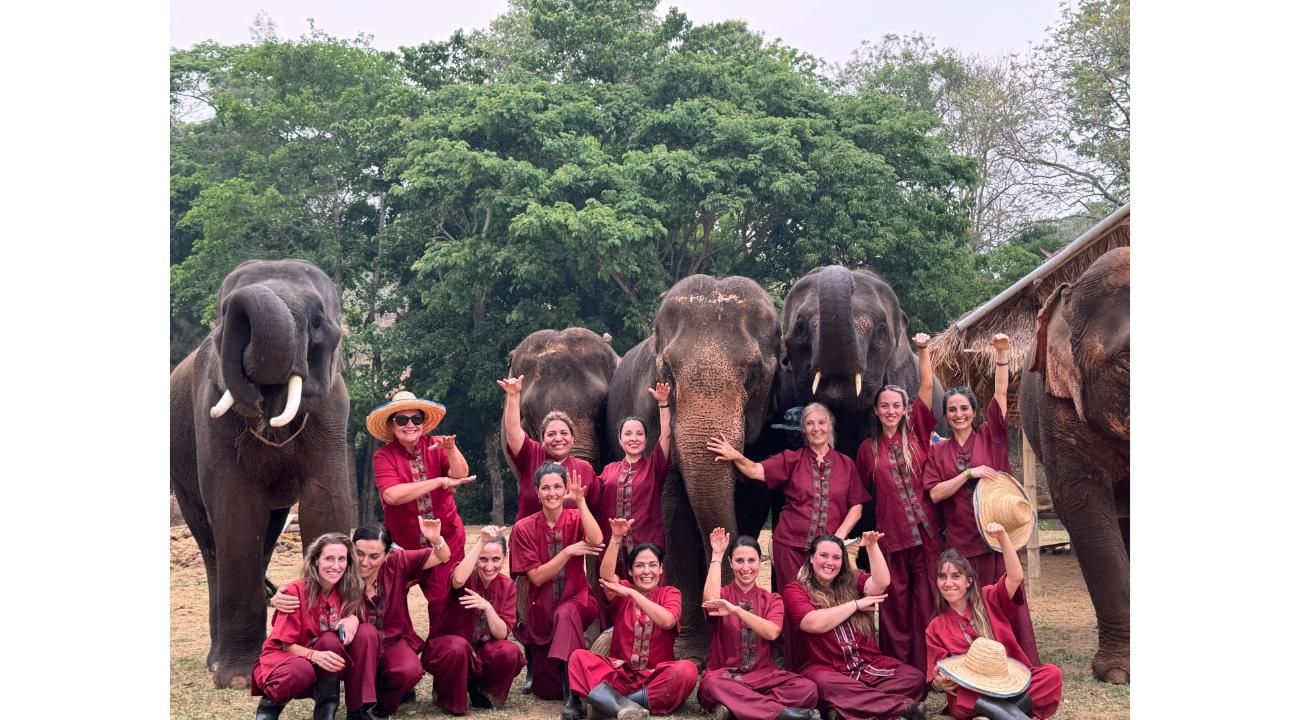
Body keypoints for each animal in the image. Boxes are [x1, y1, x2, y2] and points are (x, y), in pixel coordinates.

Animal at [172, 256, 358, 686]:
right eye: (224, 316)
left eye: (318, 320)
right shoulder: (209, 412)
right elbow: (236, 509)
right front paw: (238, 678)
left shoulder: (333, 408)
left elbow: (324, 500)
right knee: (211, 542)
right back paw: (216, 662)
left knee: (268, 534)